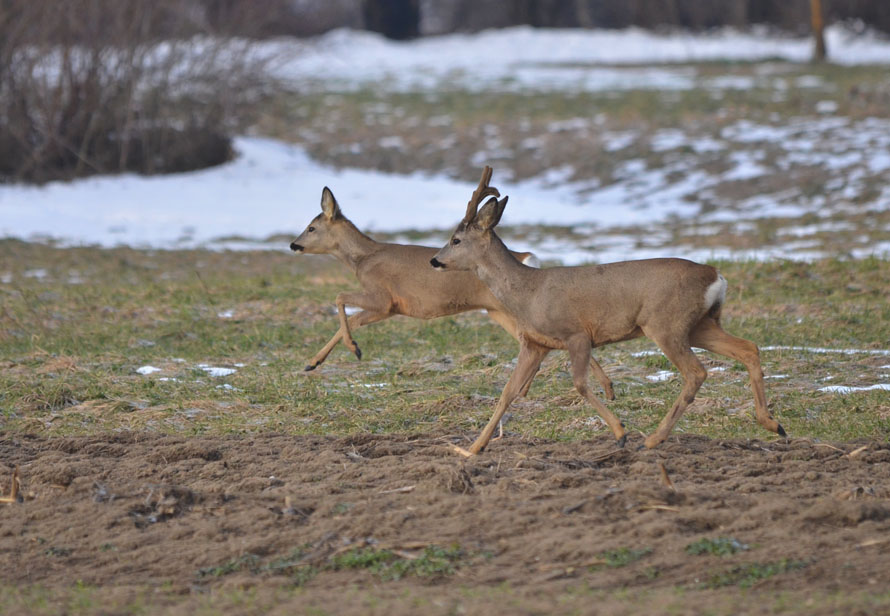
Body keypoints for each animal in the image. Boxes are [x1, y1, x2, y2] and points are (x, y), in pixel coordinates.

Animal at [288, 183, 612, 416]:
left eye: (311, 227)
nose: (293, 244)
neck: (362, 259)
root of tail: (524, 257)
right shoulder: (390, 307)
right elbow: (351, 314)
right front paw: (315, 362)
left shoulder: (383, 298)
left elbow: (341, 299)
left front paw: (348, 351)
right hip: (498, 311)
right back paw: (605, 387)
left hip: (508, 309)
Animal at [430, 166, 784, 454]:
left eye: (456, 239)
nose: (435, 260)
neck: (527, 292)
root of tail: (716, 276)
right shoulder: (536, 343)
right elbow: (508, 392)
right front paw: (472, 449)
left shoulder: (576, 333)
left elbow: (580, 384)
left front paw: (620, 432)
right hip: (700, 324)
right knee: (748, 348)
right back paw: (772, 424)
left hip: (665, 323)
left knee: (696, 372)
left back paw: (652, 440)